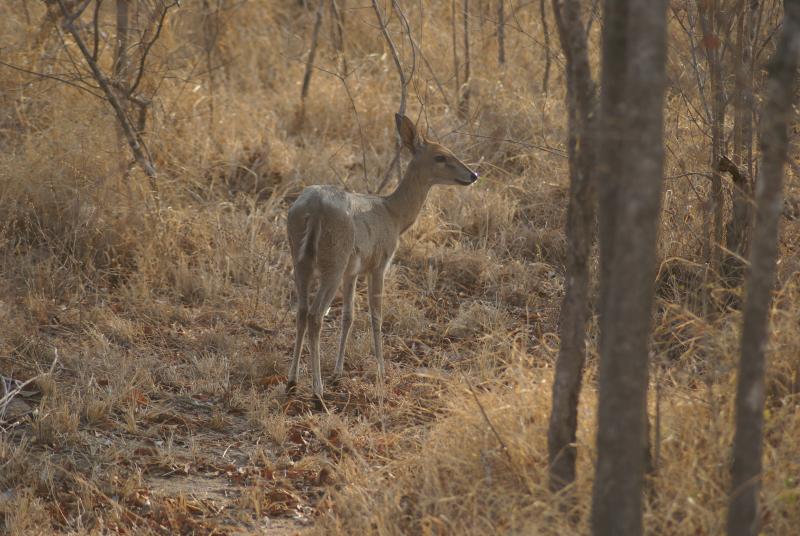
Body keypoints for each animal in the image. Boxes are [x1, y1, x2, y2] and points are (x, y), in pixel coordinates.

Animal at [284, 113, 478, 406]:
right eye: (441, 156)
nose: (472, 175)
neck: (394, 215)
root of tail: (313, 208)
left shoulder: (352, 271)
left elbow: (349, 316)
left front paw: (338, 372)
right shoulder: (379, 263)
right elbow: (376, 315)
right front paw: (381, 370)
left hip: (301, 261)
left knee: (302, 311)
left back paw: (292, 382)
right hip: (333, 261)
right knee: (316, 315)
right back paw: (317, 391)